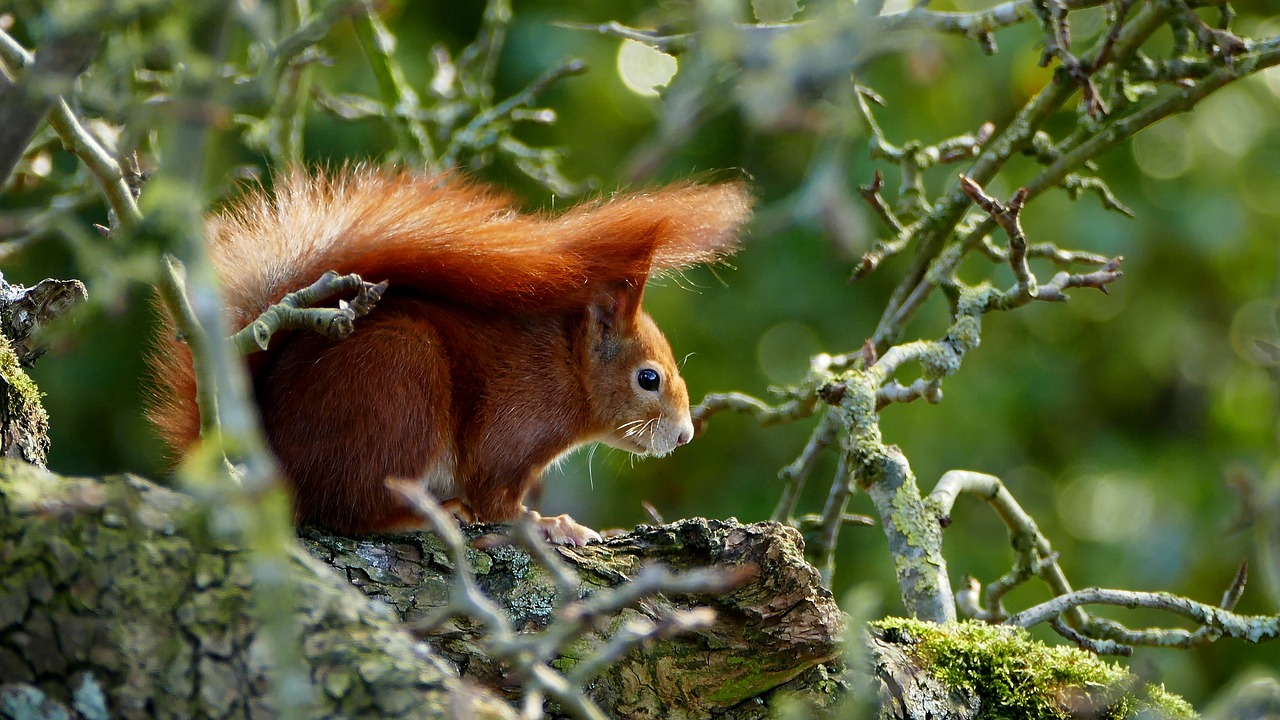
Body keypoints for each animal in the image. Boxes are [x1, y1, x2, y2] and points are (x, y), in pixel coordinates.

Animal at [149, 166, 747, 543]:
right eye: (649, 379)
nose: (684, 436)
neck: (567, 370)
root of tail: (266, 459)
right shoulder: (512, 427)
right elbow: (496, 498)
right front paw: (550, 525)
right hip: (398, 387)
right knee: (349, 508)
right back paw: (421, 517)